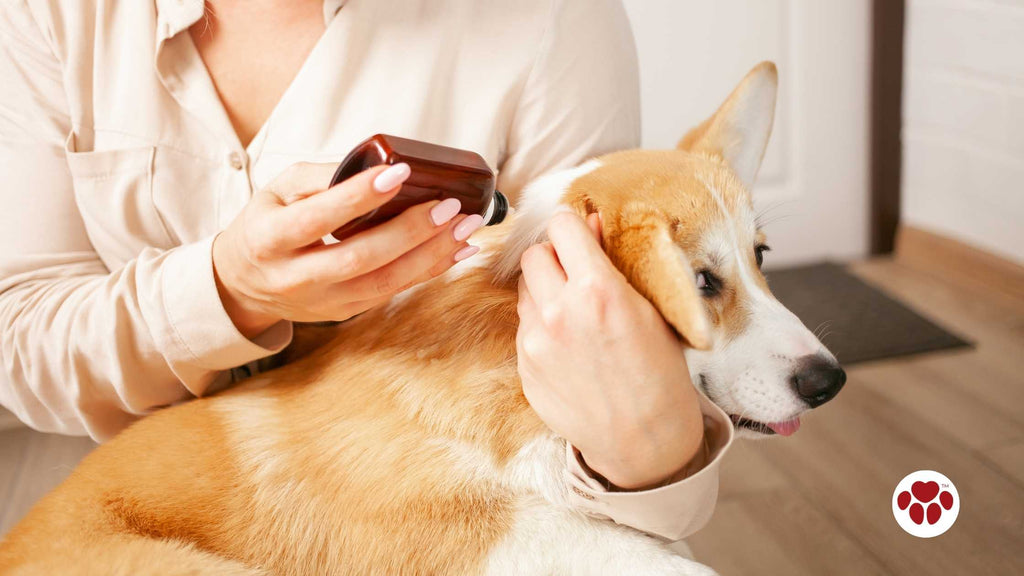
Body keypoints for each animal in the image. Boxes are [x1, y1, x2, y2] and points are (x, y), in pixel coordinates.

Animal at [0, 60, 843, 569]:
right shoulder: (459, 531)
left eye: (761, 256)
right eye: (702, 282)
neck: (507, 361)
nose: (828, 381)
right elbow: (658, 561)